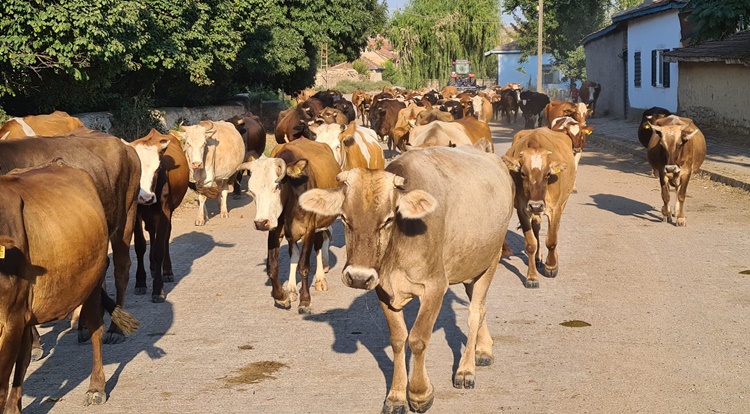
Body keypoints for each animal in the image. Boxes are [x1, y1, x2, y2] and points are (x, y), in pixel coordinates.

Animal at [129, 131, 189, 302]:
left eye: (158, 168)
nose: (146, 198)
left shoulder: (164, 212)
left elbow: (159, 249)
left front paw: (157, 289)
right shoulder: (136, 214)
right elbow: (140, 246)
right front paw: (140, 282)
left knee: (165, 238)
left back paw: (166, 271)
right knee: (152, 233)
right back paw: (154, 268)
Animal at [300, 142, 516, 410]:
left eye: (388, 219)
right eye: (344, 218)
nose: (358, 277)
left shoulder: (435, 286)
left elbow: (418, 339)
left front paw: (420, 393)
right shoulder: (383, 289)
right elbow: (397, 340)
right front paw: (396, 395)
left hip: (491, 260)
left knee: (475, 312)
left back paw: (466, 370)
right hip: (470, 264)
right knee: (481, 307)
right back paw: (484, 349)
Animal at [508, 129, 580, 288]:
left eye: (547, 174)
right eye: (523, 173)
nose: (536, 205)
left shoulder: (555, 209)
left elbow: (552, 240)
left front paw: (551, 266)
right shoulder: (522, 209)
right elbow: (531, 244)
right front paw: (532, 277)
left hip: (562, 203)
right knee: (536, 228)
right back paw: (537, 258)